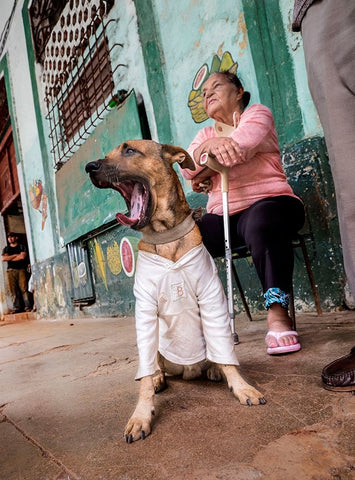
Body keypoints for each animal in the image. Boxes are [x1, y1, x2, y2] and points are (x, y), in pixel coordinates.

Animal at [85, 139, 264, 442]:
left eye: (129, 150)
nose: (89, 166)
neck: (164, 236)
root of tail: (187, 370)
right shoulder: (145, 311)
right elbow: (144, 377)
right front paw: (141, 415)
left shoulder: (212, 298)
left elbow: (227, 355)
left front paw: (241, 386)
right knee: (155, 365)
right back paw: (160, 376)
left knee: (217, 351)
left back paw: (213, 368)